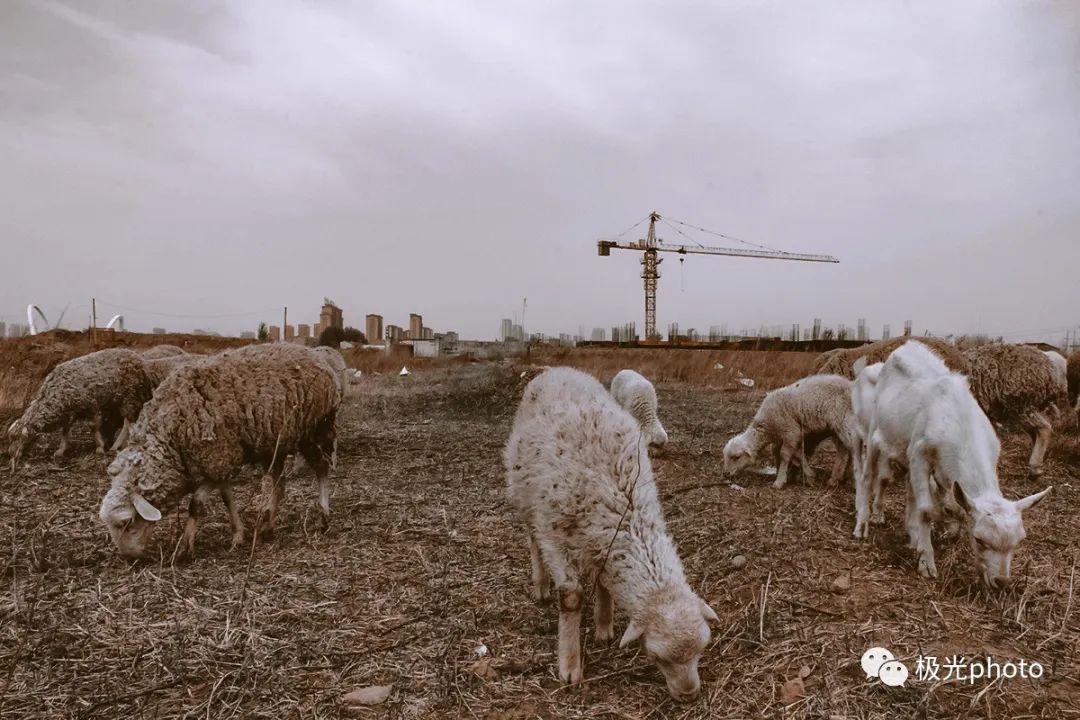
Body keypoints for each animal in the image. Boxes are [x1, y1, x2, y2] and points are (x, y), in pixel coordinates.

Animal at [100, 343, 341, 557]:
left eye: (126, 522)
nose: (127, 557)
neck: (171, 433)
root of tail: (318, 358)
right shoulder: (220, 461)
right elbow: (227, 499)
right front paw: (238, 535)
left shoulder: (217, 459)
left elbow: (196, 504)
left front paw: (185, 547)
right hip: (275, 443)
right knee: (279, 485)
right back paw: (267, 527)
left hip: (313, 429)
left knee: (321, 467)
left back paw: (323, 516)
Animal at [505, 369, 717, 699]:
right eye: (657, 657)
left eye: (701, 649)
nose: (689, 695)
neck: (623, 506)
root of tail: (556, 370)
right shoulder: (556, 536)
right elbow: (571, 597)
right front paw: (570, 664)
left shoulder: (604, 540)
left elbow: (604, 581)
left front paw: (603, 626)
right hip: (525, 495)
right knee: (532, 540)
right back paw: (540, 585)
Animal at [859, 341, 1045, 587]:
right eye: (979, 539)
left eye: (1019, 541)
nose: (1001, 581)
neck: (961, 424)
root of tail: (907, 345)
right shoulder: (919, 453)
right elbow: (926, 510)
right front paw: (927, 562)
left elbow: (949, 504)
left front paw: (933, 535)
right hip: (875, 432)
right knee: (870, 476)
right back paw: (865, 522)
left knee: (904, 486)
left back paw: (907, 530)